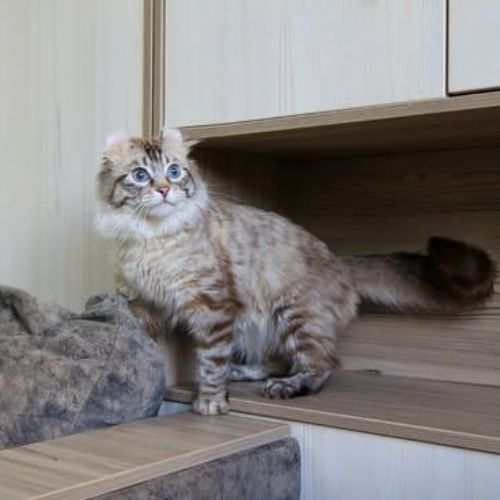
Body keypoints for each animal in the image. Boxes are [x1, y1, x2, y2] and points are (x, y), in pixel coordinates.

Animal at [96, 129, 496, 415]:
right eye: (141, 175)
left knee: (321, 364)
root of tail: (338, 260)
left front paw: (211, 402)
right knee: (274, 361)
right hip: (257, 326)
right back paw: (241, 372)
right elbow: (139, 327)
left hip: (293, 315)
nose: (164, 190)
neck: (153, 239)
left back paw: (288, 386)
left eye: (175, 172)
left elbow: (210, 361)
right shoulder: (145, 302)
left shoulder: (212, 308)